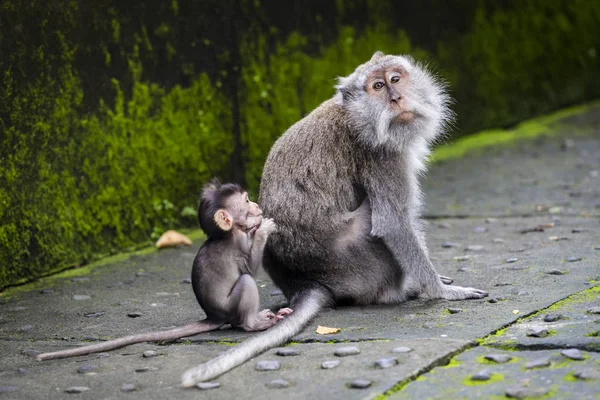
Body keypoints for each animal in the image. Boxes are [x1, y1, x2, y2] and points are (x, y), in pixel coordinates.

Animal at [37, 181, 290, 362]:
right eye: (246, 200)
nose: (256, 206)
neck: (227, 234)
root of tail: (214, 316)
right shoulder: (238, 244)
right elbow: (250, 267)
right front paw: (263, 228)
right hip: (231, 306)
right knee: (246, 282)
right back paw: (254, 323)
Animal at [182, 51, 488, 386]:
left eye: (395, 79)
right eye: (378, 86)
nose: (396, 97)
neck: (357, 118)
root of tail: (304, 283)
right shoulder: (381, 158)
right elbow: (393, 223)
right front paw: (440, 291)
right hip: (359, 267)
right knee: (371, 217)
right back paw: (400, 291)